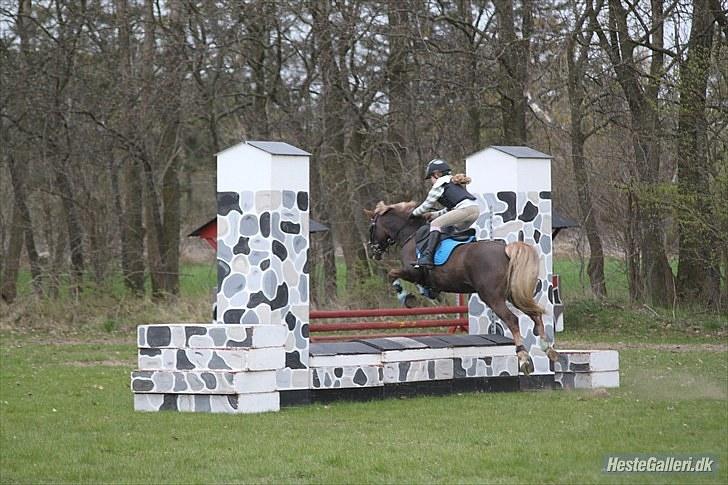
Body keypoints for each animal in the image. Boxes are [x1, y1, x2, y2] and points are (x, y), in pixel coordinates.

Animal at [366, 200, 560, 374]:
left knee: (512, 319)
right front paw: (426, 292)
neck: (411, 235)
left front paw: (406, 297)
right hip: (513, 294)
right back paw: (548, 349)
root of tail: (505, 249)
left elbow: (393, 274)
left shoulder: (413, 272)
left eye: (371, 228)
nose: (374, 252)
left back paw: (524, 357)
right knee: (535, 314)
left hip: (492, 297)